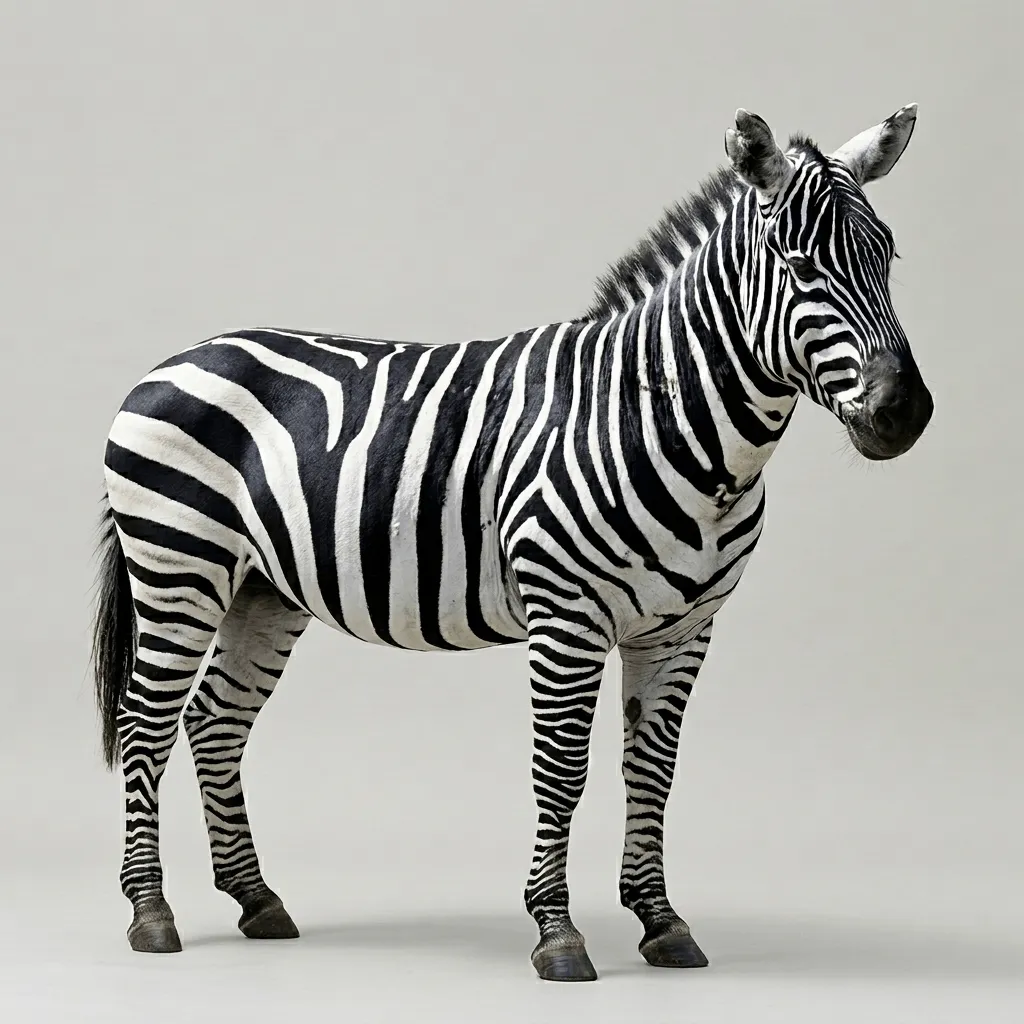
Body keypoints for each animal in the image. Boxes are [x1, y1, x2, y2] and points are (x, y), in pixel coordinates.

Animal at [91, 104, 933, 982]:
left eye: (888, 256)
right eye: (799, 266)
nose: (904, 412)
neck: (668, 422)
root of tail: (176, 359)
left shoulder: (684, 629)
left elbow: (652, 771)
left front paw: (661, 921)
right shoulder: (568, 616)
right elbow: (561, 770)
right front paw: (557, 933)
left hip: (262, 590)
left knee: (215, 719)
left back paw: (257, 899)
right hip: (178, 567)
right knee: (144, 722)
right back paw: (151, 912)